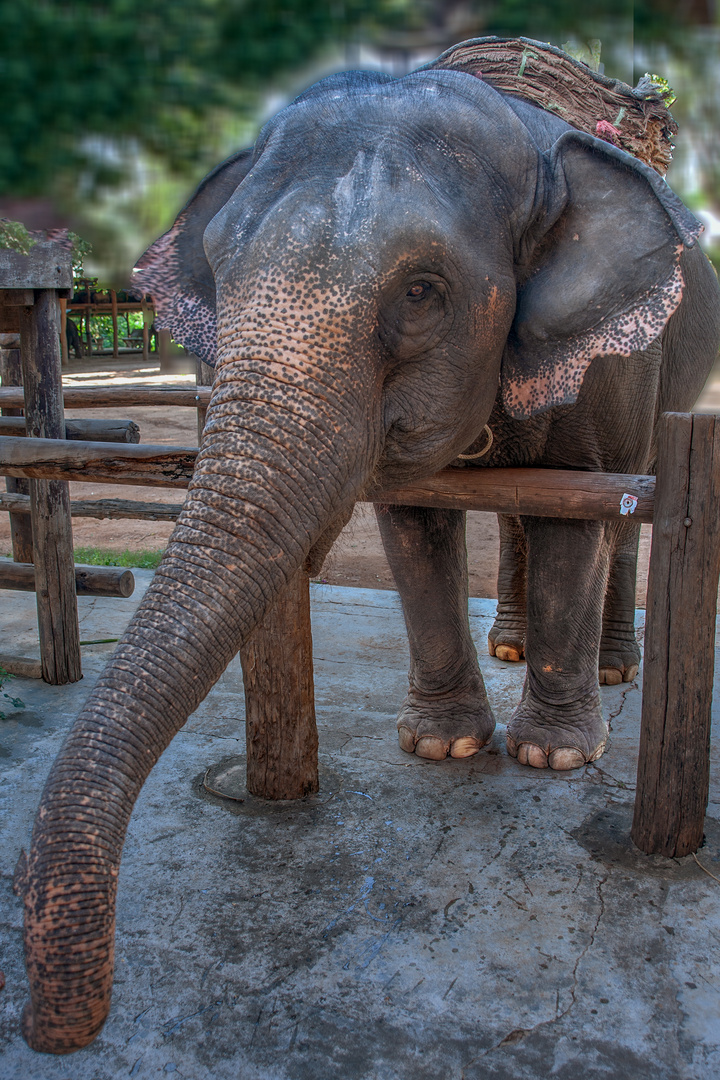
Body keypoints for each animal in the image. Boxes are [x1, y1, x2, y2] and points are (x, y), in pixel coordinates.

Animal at [15, 50, 720, 1054]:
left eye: (421, 291)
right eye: (220, 271)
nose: (52, 1028)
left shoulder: (618, 360)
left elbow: (580, 512)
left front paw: (551, 759)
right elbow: (413, 521)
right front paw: (440, 745)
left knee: (627, 500)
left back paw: (616, 670)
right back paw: (511, 642)